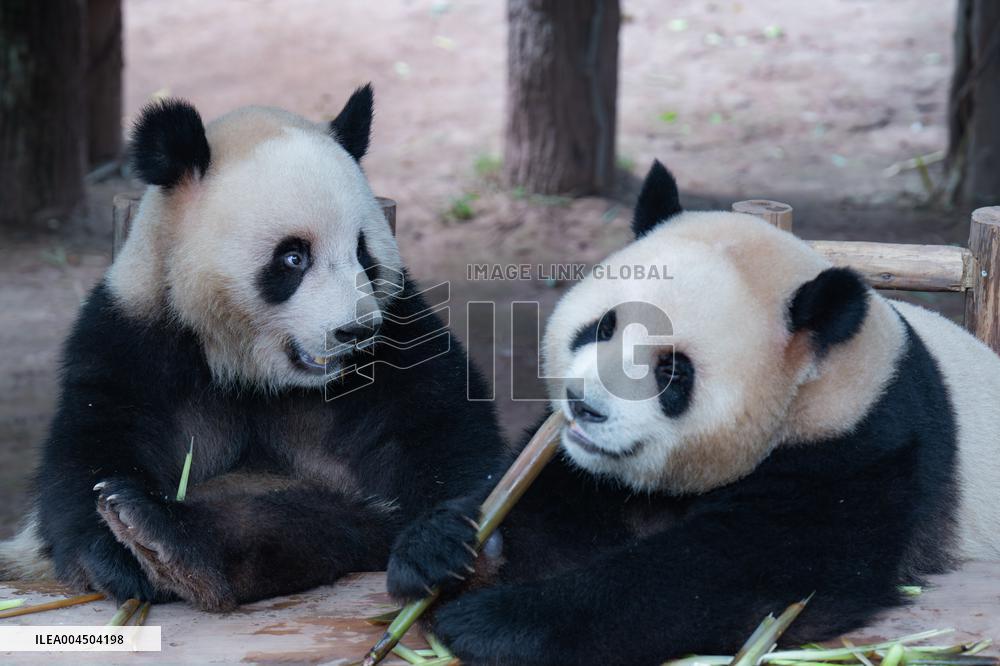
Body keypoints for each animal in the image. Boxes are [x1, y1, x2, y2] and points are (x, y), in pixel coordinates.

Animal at [0, 85, 506, 611]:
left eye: (363, 252)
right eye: (294, 257)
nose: (355, 331)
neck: (253, 368)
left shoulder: (398, 332)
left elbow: (441, 424)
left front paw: (436, 544)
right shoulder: (136, 331)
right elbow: (96, 437)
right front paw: (113, 557)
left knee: (293, 523)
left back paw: (175, 543)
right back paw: (153, 534)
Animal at [386, 161, 1000, 665]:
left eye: (673, 373)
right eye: (603, 327)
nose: (583, 406)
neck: (821, 387)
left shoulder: (861, 457)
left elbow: (734, 573)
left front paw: (493, 624)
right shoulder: (580, 469)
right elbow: (547, 507)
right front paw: (446, 546)